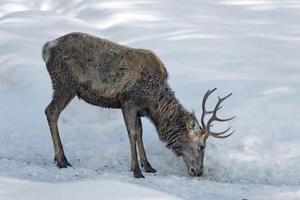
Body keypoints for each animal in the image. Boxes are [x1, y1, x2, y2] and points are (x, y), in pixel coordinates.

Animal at [42, 32, 234, 178]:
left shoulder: (140, 110)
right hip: (65, 83)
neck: (153, 102)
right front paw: (136, 171)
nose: (199, 171)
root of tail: (47, 48)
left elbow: (140, 133)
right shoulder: (128, 101)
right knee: (50, 111)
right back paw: (62, 160)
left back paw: (58, 158)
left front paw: (148, 166)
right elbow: (133, 134)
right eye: (201, 147)